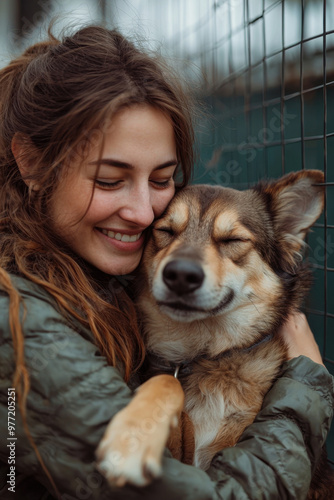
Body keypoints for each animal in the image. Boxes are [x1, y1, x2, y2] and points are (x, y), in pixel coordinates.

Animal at [95, 170, 332, 498]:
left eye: (233, 240)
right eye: (165, 231)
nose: (181, 275)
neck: (207, 354)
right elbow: (167, 381)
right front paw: (133, 436)